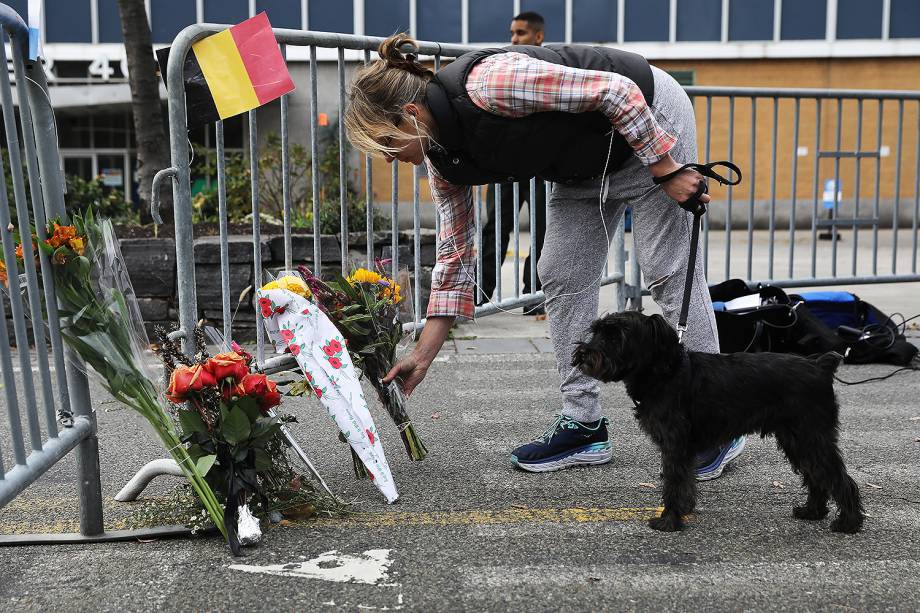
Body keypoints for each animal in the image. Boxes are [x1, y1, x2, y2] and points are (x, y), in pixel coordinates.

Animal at [572, 310, 868, 532]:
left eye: (616, 337)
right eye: (597, 331)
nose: (584, 353)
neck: (663, 373)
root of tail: (820, 365)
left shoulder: (675, 445)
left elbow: (673, 482)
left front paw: (669, 521)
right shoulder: (684, 449)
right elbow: (685, 481)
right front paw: (684, 510)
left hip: (810, 437)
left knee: (838, 477)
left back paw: (848, 523)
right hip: (796, 440)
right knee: (817, 475)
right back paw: (812, 512)